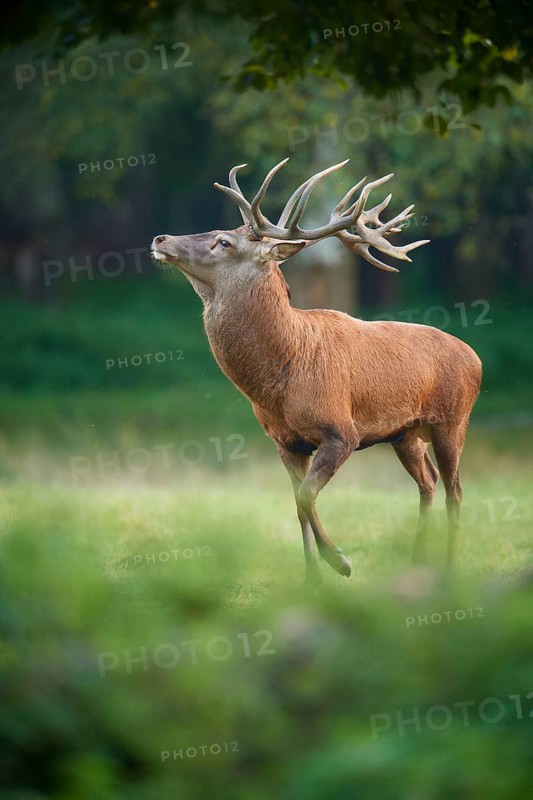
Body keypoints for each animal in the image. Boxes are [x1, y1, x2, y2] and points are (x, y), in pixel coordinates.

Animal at [152, 158, 482, 585]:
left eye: (224, 241)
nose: (160, 239)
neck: (280, 378)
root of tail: (474, 356)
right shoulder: (286, 442)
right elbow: (297, 503)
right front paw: (312, 580)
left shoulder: (341, 430)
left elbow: (307, 496)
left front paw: (340, 561)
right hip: (405, 433)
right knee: (428, 481)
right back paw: (415, 563)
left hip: (452, 420)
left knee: (455, 491)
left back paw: (450, 569)